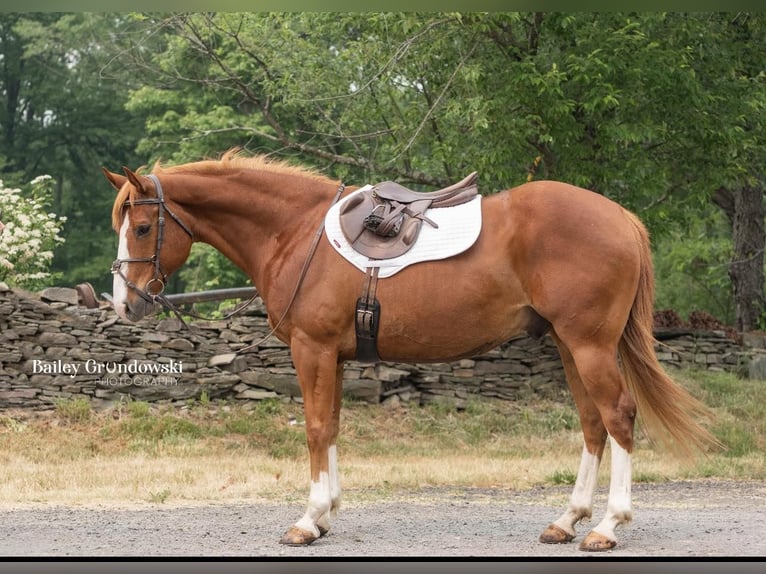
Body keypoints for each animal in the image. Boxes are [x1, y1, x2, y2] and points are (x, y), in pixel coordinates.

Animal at [106, 152, 720, 552]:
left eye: (142, 227)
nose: (126, 303)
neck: (294, 232)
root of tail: (622, 218)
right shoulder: (333, 357)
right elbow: (332, 426)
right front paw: (327, 515)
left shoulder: (312, 350)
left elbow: (314, 429)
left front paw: (307, 519)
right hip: (570, 346)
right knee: (593, 424)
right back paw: (567, 521)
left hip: (590, 345)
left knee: (618, 417)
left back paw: (607, 527)